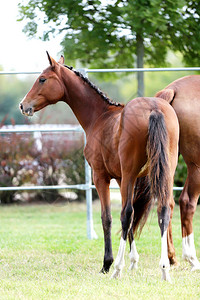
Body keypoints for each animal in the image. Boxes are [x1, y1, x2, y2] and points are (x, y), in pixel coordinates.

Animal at [19, 52, 178, 282]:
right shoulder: (121, 178)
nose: (23, 106)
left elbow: (108, 217)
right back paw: (164, 269)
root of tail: (154, 109)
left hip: (131, 173)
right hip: (165, 173)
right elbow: (129, 219)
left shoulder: (101, 177)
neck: (100, 117)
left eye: (42, 79)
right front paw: (134, 262)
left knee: (127, 213)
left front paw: (108, 263)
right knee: (164, 210)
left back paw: (118, 268)